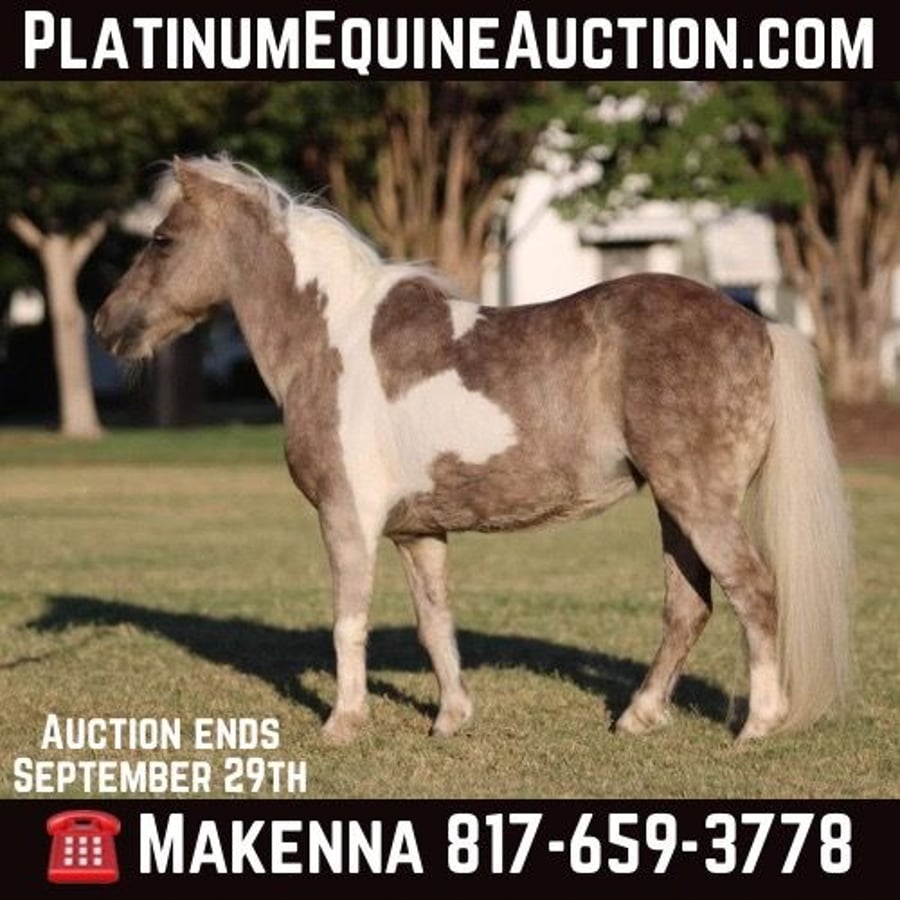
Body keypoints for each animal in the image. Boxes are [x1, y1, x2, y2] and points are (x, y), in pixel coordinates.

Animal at [94, 156, 853, 744]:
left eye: (161, 239)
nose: (106, 322)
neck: (332, 341)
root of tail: (757, 325)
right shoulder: (418, 532)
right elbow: (435, 625)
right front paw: (451, 719)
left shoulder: (346, 519)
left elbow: (349, 622)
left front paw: (343, 722)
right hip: (675, 507)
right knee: (688, 607)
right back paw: (638, 717)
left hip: (699, 503)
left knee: (753, 591)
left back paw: (757, 725)